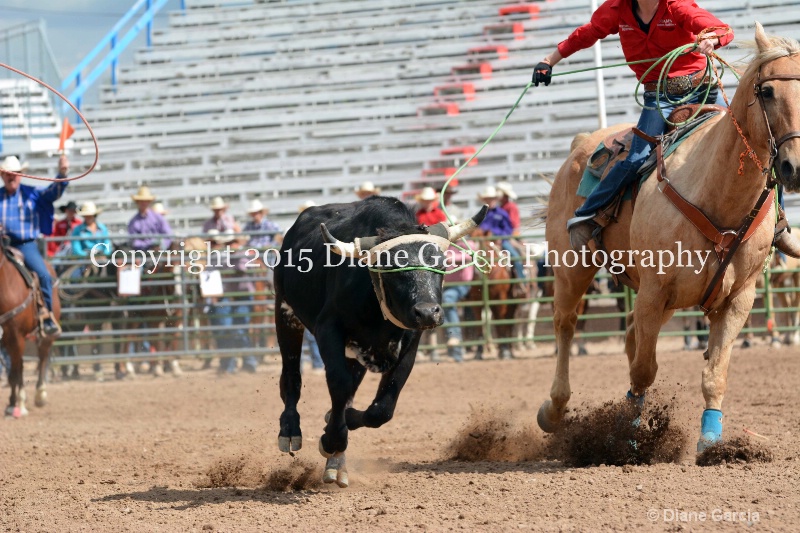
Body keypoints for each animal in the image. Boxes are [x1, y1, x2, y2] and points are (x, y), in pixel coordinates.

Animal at [0, 236, 61, 416]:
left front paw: (17, 405)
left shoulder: (15, 336)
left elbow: (15, 373)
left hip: (44, 333)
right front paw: (13, 403)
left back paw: (40, 395)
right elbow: (13, 373)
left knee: (42, 356)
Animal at [536, 22, 800, 450]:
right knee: (566, 324)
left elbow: (714, 374)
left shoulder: (739, 298)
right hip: (572, 266)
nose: (795, 166)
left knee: (628, 336)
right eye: (767, 91)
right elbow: (644, 370)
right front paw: (628, 433)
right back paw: (554, 410)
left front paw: (710, 440)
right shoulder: (654, 290)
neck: (718, 195)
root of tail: (581, 142)